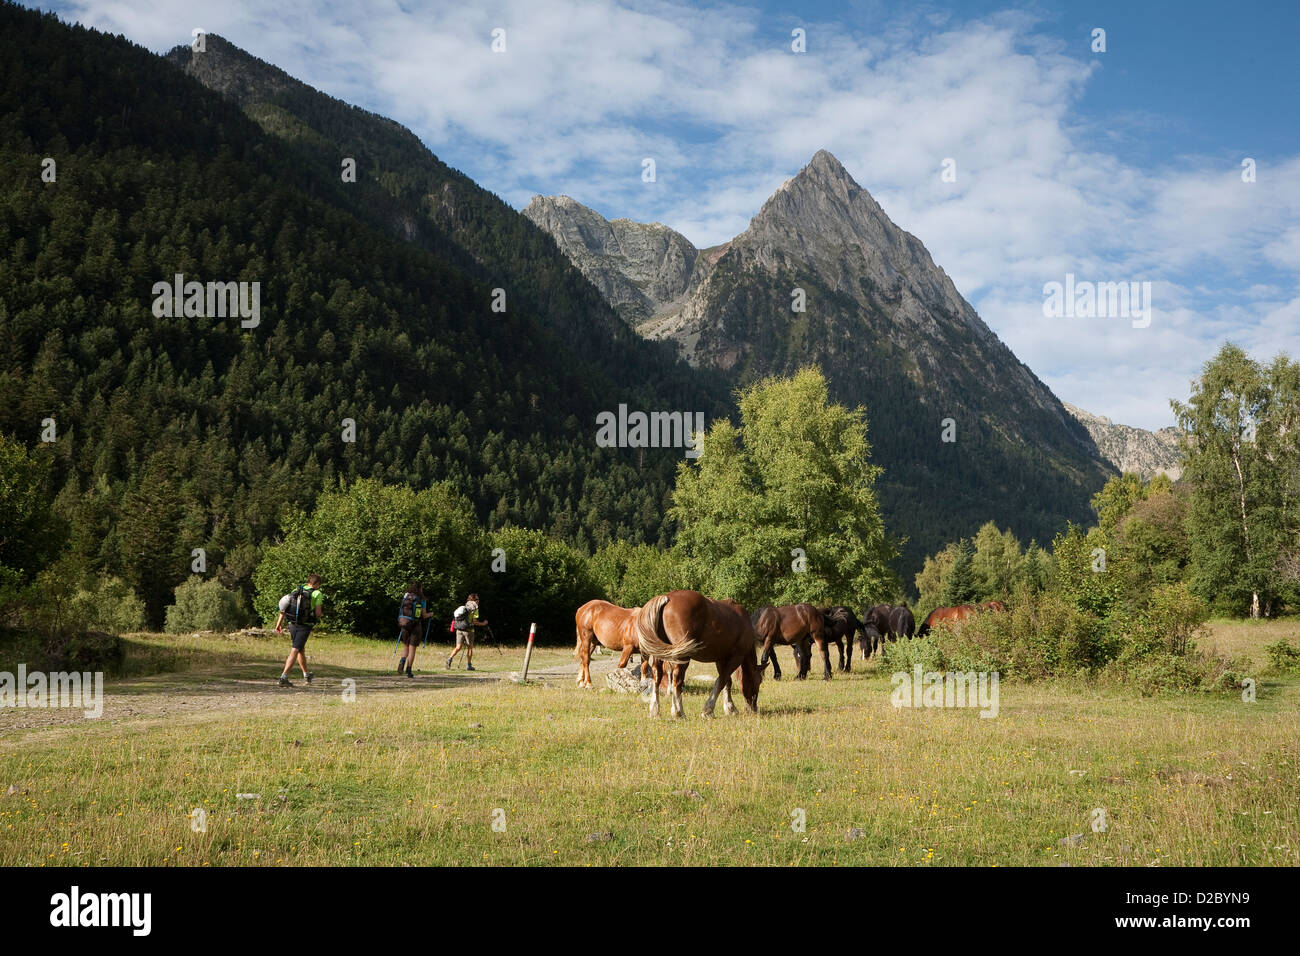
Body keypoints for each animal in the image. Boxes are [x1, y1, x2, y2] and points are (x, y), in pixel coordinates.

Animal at [631, 590, 759, 717]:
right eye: (758, 682)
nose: (754, 709)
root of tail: (667, 597)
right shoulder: (736, 657)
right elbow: (722, 680)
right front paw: (709, 710)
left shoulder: (721, 659)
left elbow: (727, 681)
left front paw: (730, 708)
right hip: (682, 657)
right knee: (677, 680)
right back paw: (678, 712)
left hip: (661, 655)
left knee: (657, 676)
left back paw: (655, 711)